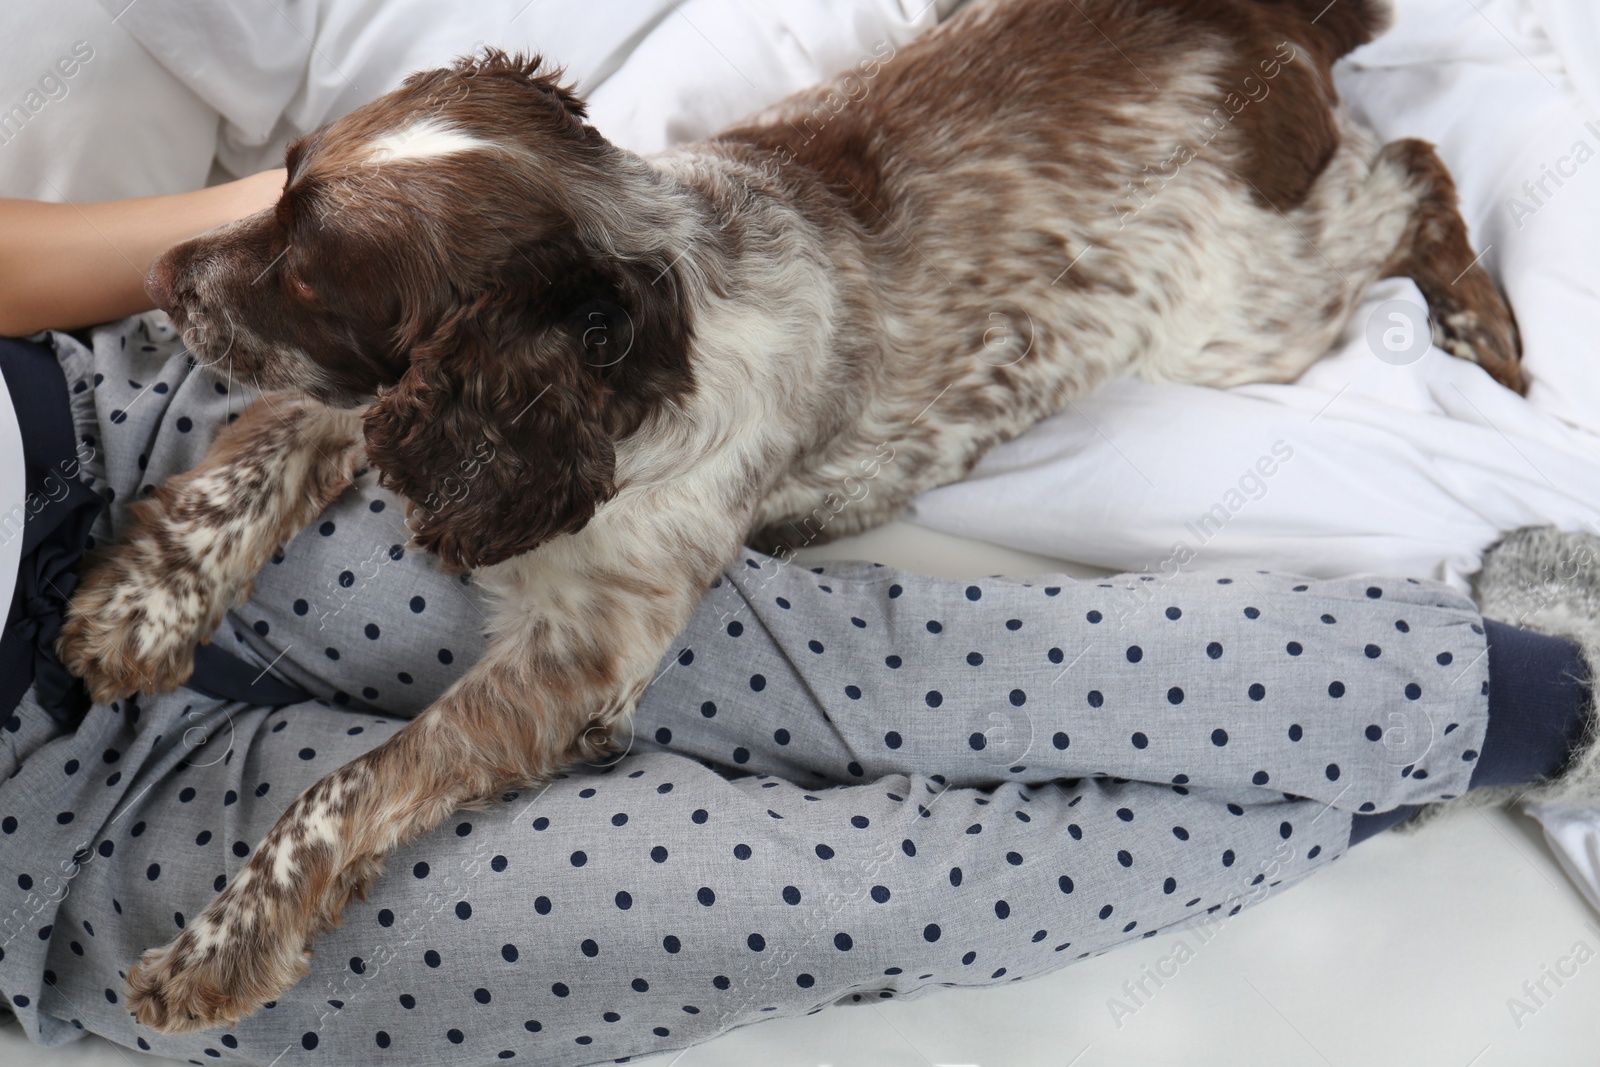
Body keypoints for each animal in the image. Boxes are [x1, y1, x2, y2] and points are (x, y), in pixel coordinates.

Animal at [56, 0, 1516, 1036]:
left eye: (313, 273)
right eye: (278, 180)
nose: (160, 268)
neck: (631, 328)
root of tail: (1244, 17)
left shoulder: (577, 650)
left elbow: (345, 783)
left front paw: (218, 940)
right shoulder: (380, 404)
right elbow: (242, 472)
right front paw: (135, 609)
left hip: (1244, 310)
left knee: (1411, 165)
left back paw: (1480, 324)